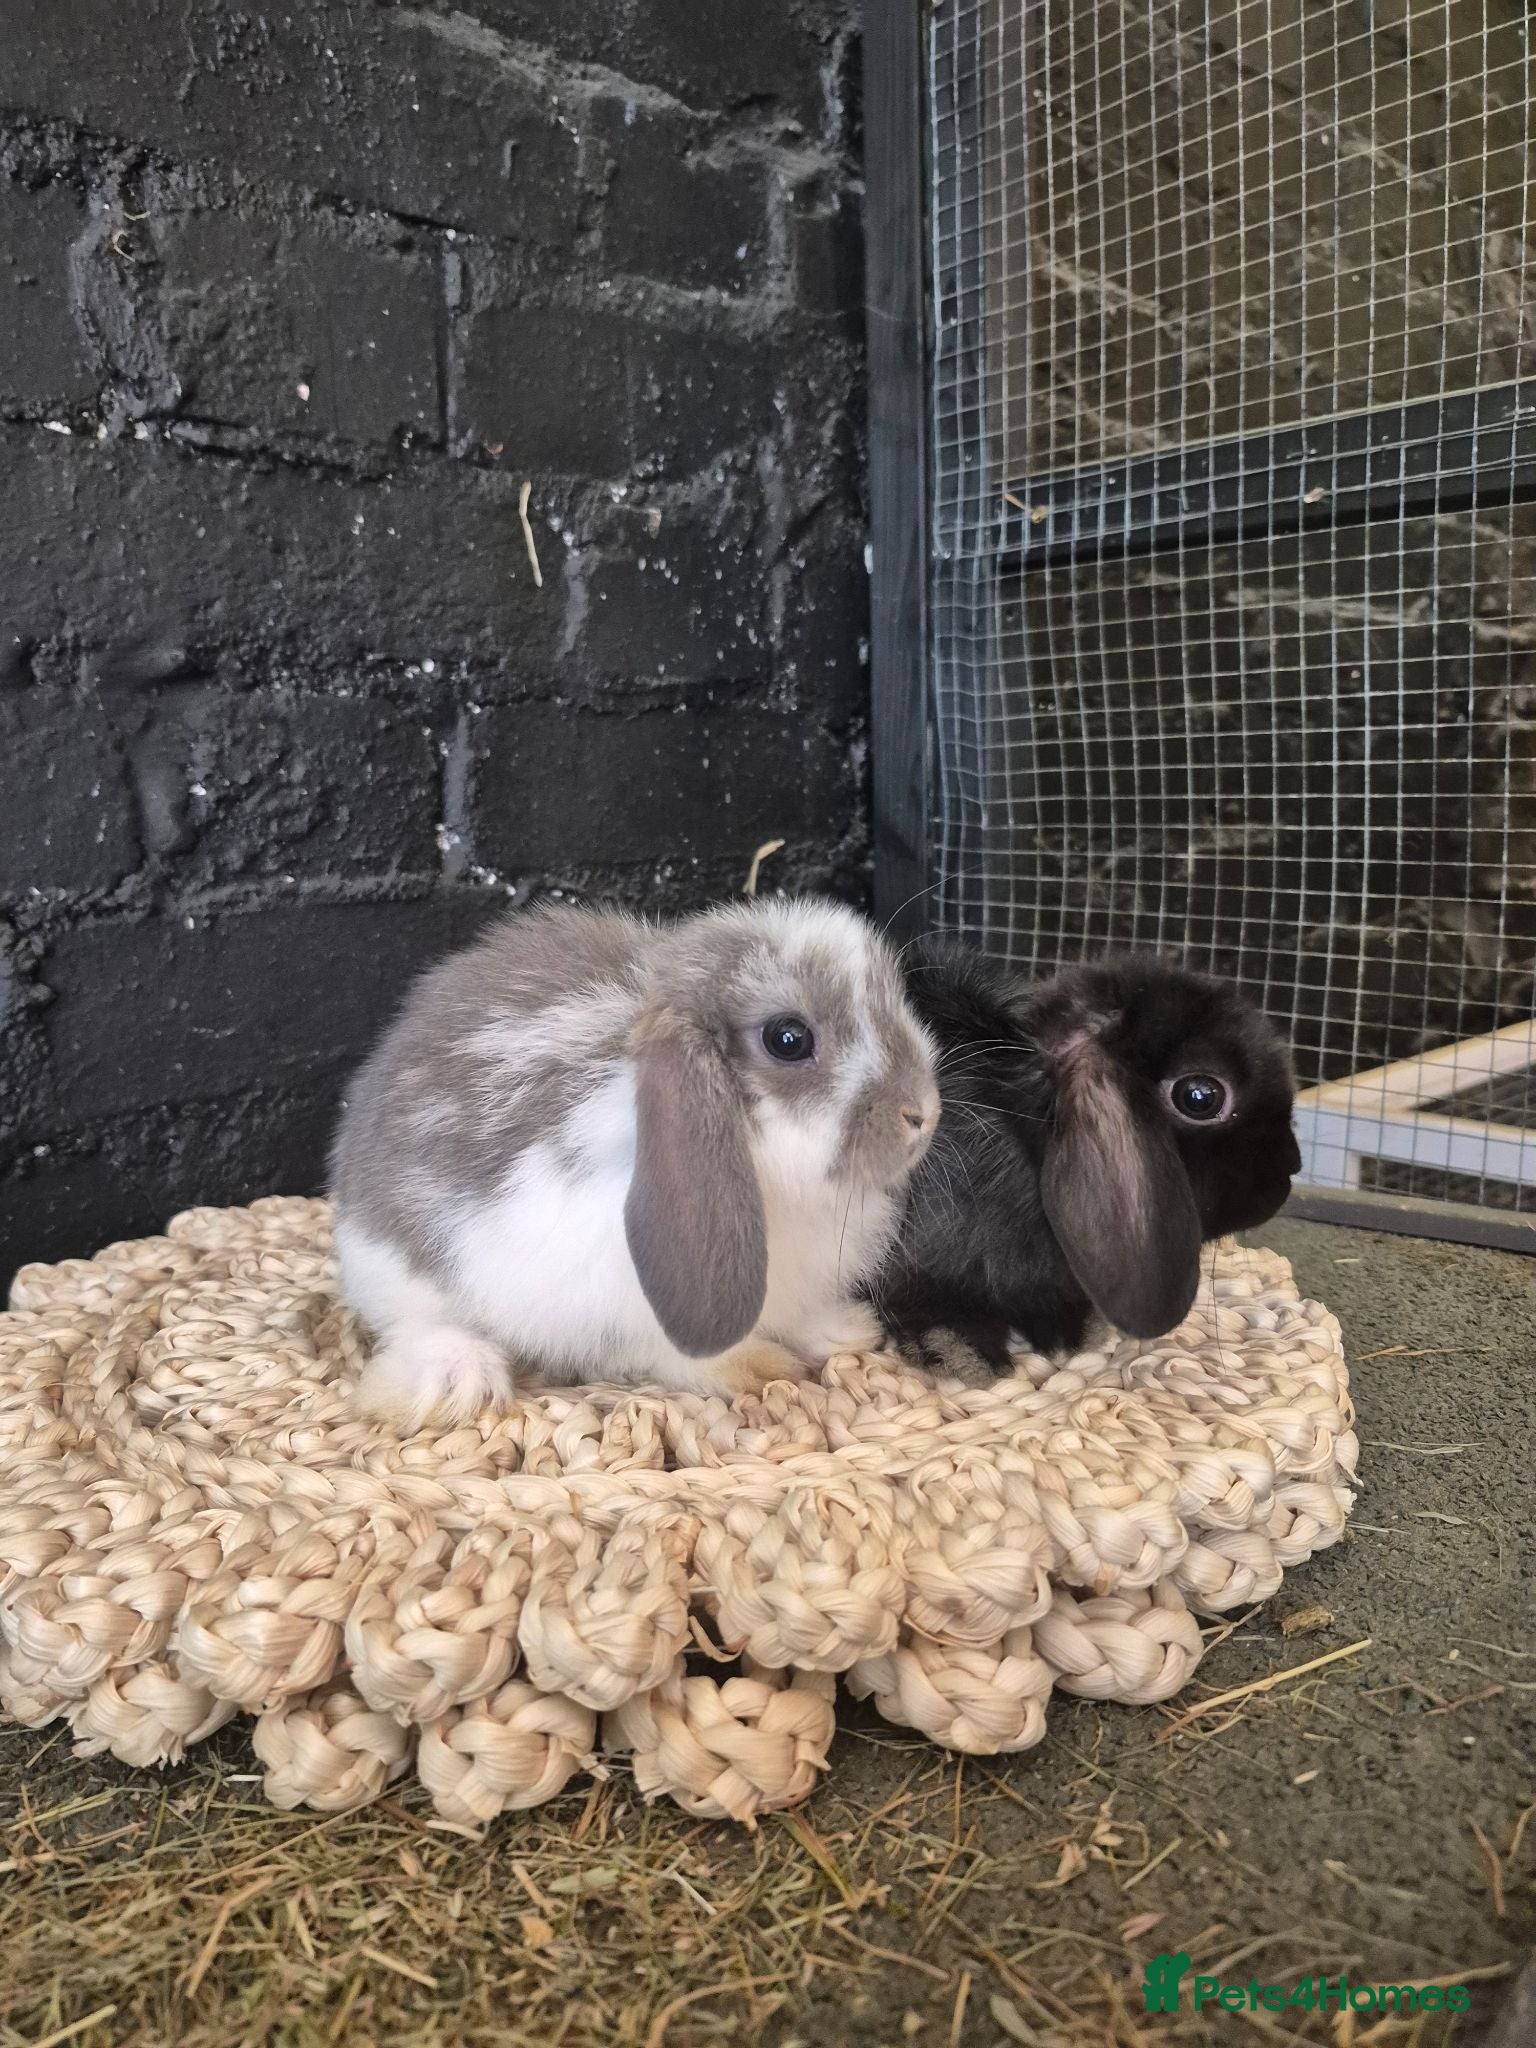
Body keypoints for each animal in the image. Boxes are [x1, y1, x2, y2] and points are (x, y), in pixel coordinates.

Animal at [331, 897, 941, 1428]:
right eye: (788, 1039)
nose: (923, 1113)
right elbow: (678, 1353)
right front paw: (756, 1367)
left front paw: (844, 1331)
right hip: (407, 1277)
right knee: (419, 1325)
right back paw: (458, 1380)